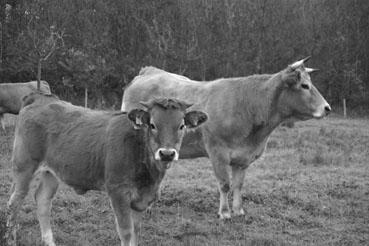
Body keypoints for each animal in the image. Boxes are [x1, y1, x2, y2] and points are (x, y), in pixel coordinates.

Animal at [6, 92, 207, 246]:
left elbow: (136, 232)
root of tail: (41, 98)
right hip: (24, 166)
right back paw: (10, 239)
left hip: (51, 172)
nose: (166, 153)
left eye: (181, 126)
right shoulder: (118, 192)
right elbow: (126, 232)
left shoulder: (142, 199)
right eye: (152, 125)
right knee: (14, 203)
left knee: (43, 201)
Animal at [121, 57, 330, 219]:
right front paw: (225, 213)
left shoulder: (243, 157)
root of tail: (148, 72)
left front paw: (238, 210)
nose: (327, 108)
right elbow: (224, 184)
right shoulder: (217, 153)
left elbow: (238, 185)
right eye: (305, 86)